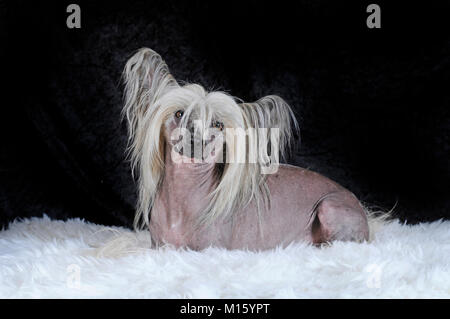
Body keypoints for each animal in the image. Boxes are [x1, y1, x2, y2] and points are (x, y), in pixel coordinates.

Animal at [123, 48, 370, 251]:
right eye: (179, 113)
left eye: (218, 124)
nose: (197, 138)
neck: (183, 192)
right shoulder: (158, 248)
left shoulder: (209, 249)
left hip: (329, 206)